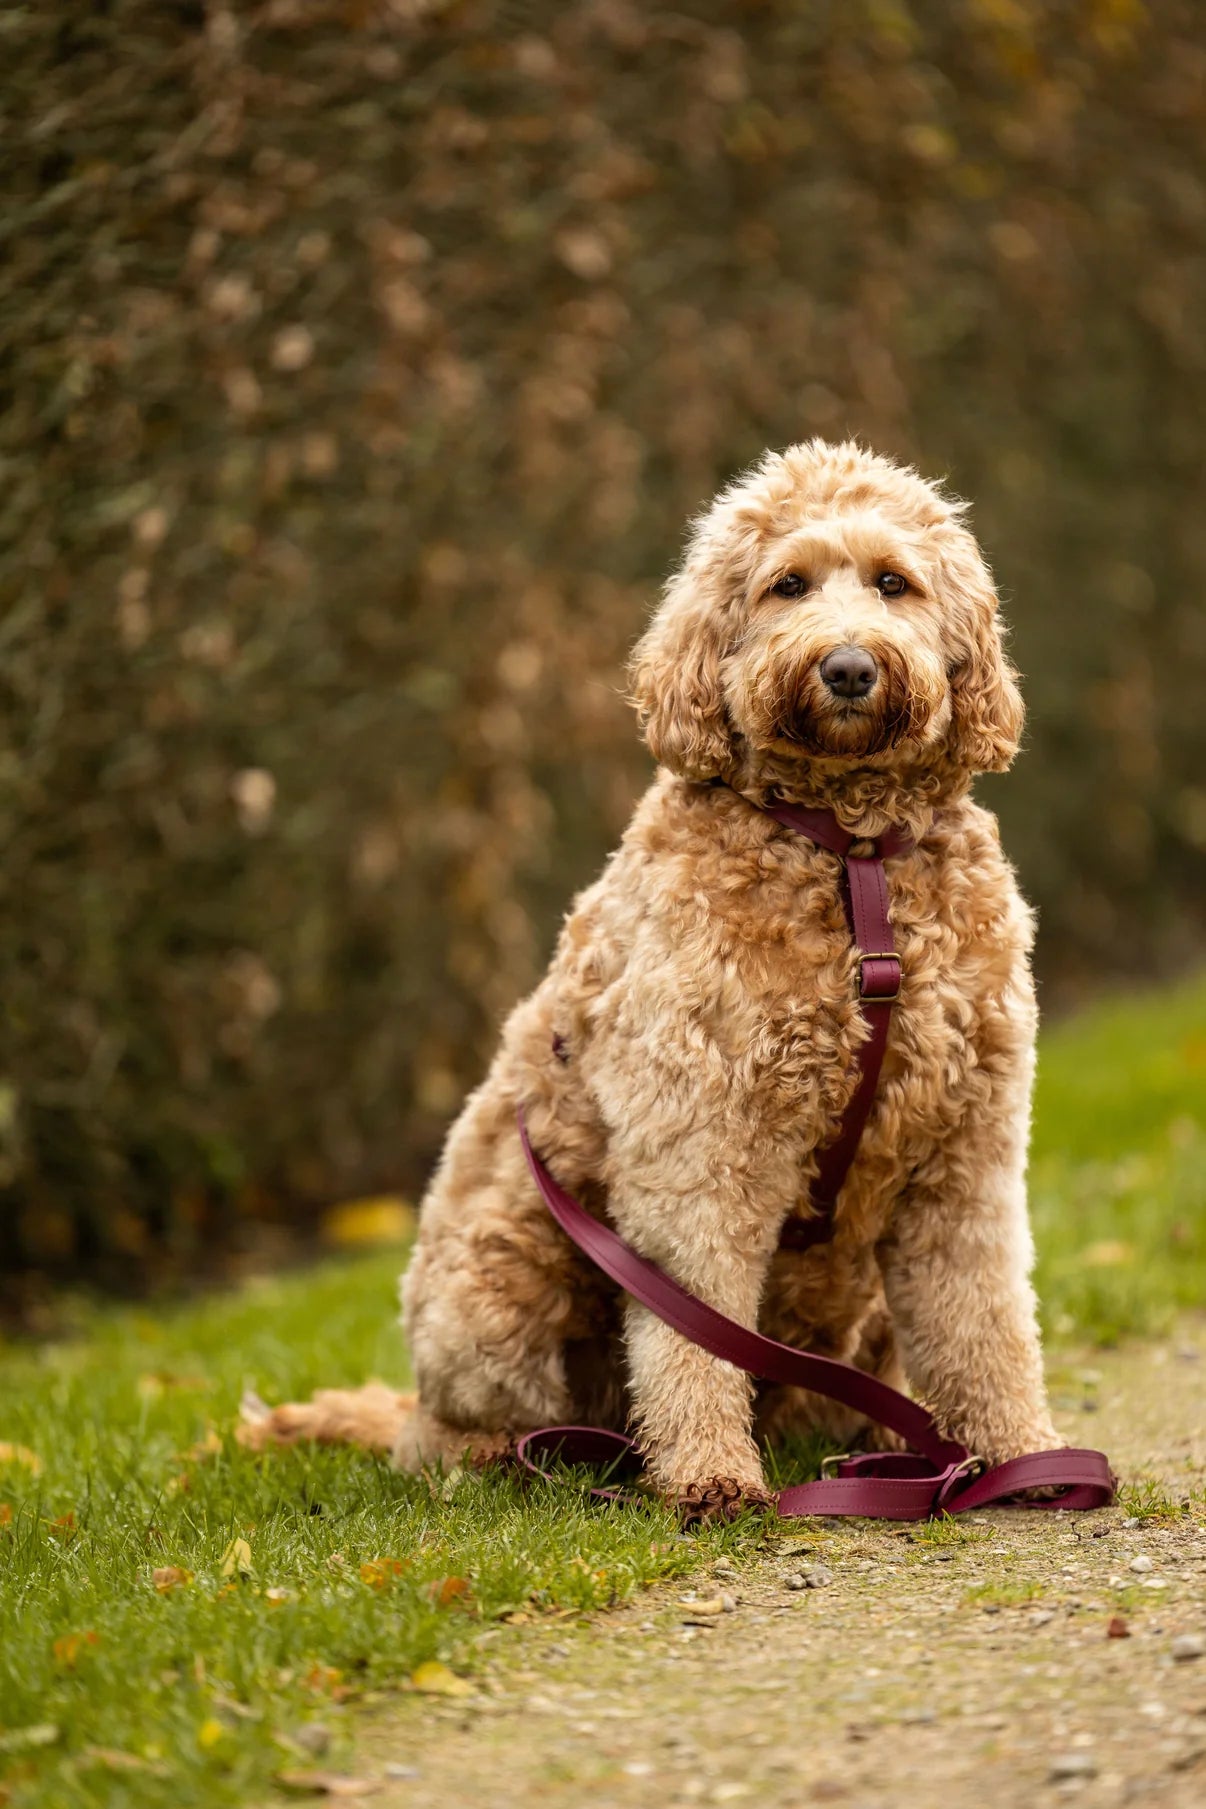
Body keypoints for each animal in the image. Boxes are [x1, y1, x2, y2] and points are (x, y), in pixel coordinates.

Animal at [238, 445, 1063, 1519]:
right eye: (787, 585)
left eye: (894, 583)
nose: (848, 666)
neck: (851, 858)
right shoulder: (700, 1140)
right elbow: (692, 1327)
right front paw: (711, 1473)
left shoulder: (966, 1152)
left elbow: (985, 1318)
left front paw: (1019, 1454)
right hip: (495, 1283)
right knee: (456, 1428)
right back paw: (518, 1457)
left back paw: (883, 1438)